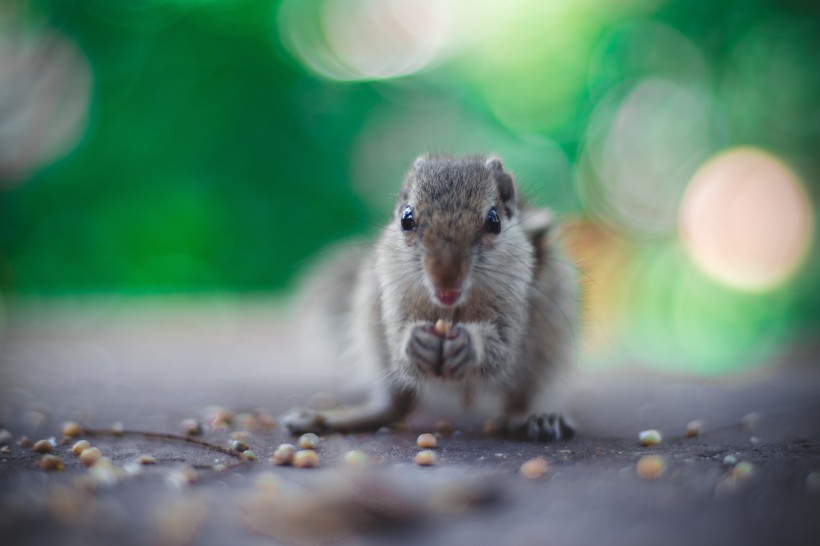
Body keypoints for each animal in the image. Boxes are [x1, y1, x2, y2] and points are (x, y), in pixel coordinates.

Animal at [286, 152, 580, 438]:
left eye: (494, 221)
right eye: (406, 219)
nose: (446, 275)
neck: (451, 310)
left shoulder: (516, 309)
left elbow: (503, 351)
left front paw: (470, 344)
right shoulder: (392, 300)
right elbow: (398, 344)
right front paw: (415, 341)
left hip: (547, 346)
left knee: (522, 399)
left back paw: (538, 417)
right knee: (396, 405)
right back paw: (335, 417)